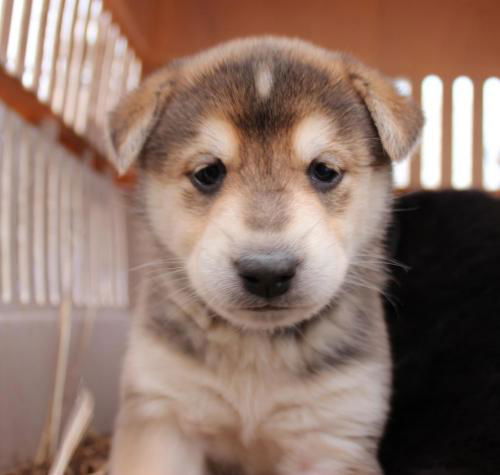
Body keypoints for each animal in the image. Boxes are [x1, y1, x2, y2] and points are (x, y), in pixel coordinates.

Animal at [105, 35, 422, 474]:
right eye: (208, 173)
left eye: (325, 170)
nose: (268, 272)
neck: (256, 349)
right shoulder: (162, 410)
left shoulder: (333, 433)